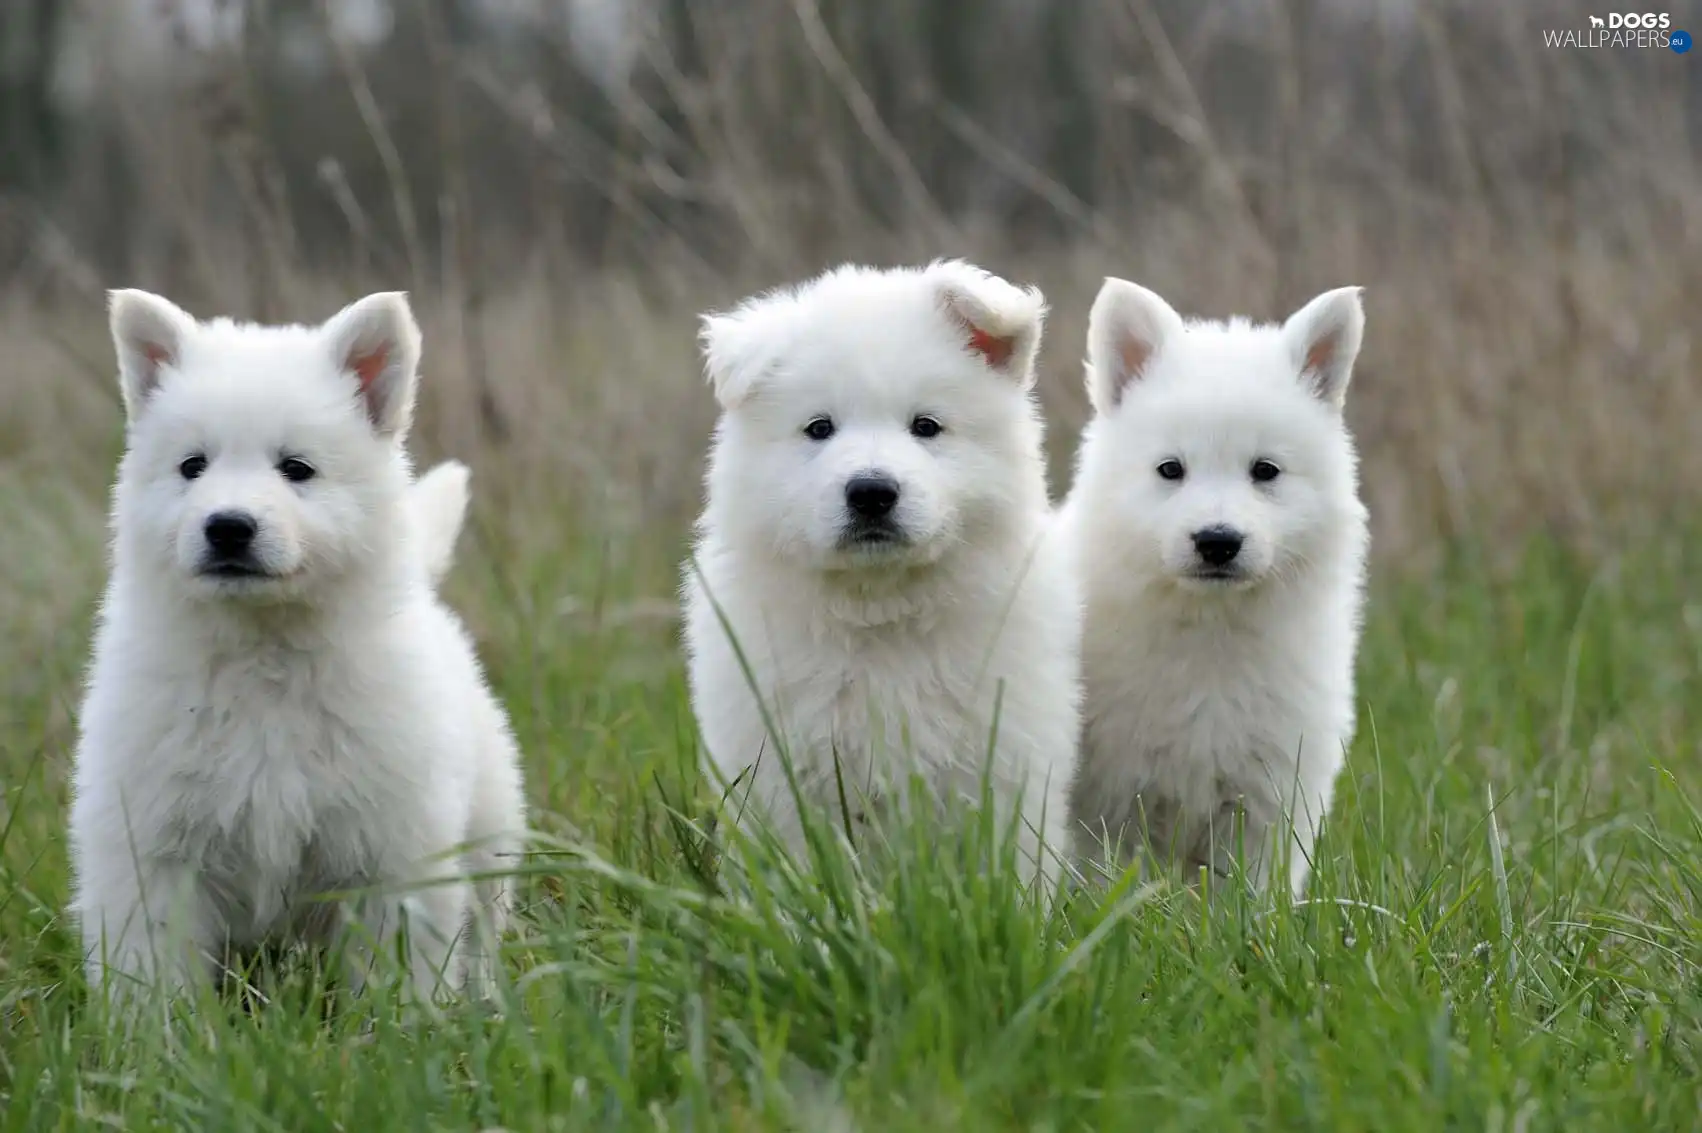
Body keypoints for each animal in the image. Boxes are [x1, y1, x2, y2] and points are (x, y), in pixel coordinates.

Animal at [69, 287, 527, 1000]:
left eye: (297, 469)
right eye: (192, 466)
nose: (228, 527)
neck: (263, 657)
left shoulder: (389, 848)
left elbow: (396, 973)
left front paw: (400, 1027)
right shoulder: (153, 849)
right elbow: (155, 977)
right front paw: (158, 1033)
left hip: (486, 832)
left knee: (480, 933)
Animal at [677, 258, 1075, 884]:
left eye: (926, 426)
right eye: (819, 428)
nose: (870, 492)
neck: (880, 611)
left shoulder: (1004, 753)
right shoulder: (776, 766)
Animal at [1062, 273, 1368, 891]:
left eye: (1265, 471)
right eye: (1170, 470)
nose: (1218, 540)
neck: (1210, 631)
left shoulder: (1267, 801)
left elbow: (1249, 898)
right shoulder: (1106, 804)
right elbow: (1105, 888)